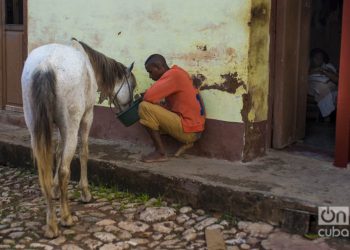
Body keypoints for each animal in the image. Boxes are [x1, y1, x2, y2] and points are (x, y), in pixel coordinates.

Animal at [20, 38, 135, 237]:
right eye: (132, 85)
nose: (129, 107)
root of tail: (45, 66)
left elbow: (58, 153)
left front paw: (55, 190)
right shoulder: (87, 117)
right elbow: (83, 152)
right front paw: (85, 193)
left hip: (36, 129)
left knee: (44, 172)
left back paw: (51, 224)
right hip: (72, 125)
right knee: (65, 170)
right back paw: (65, 218)